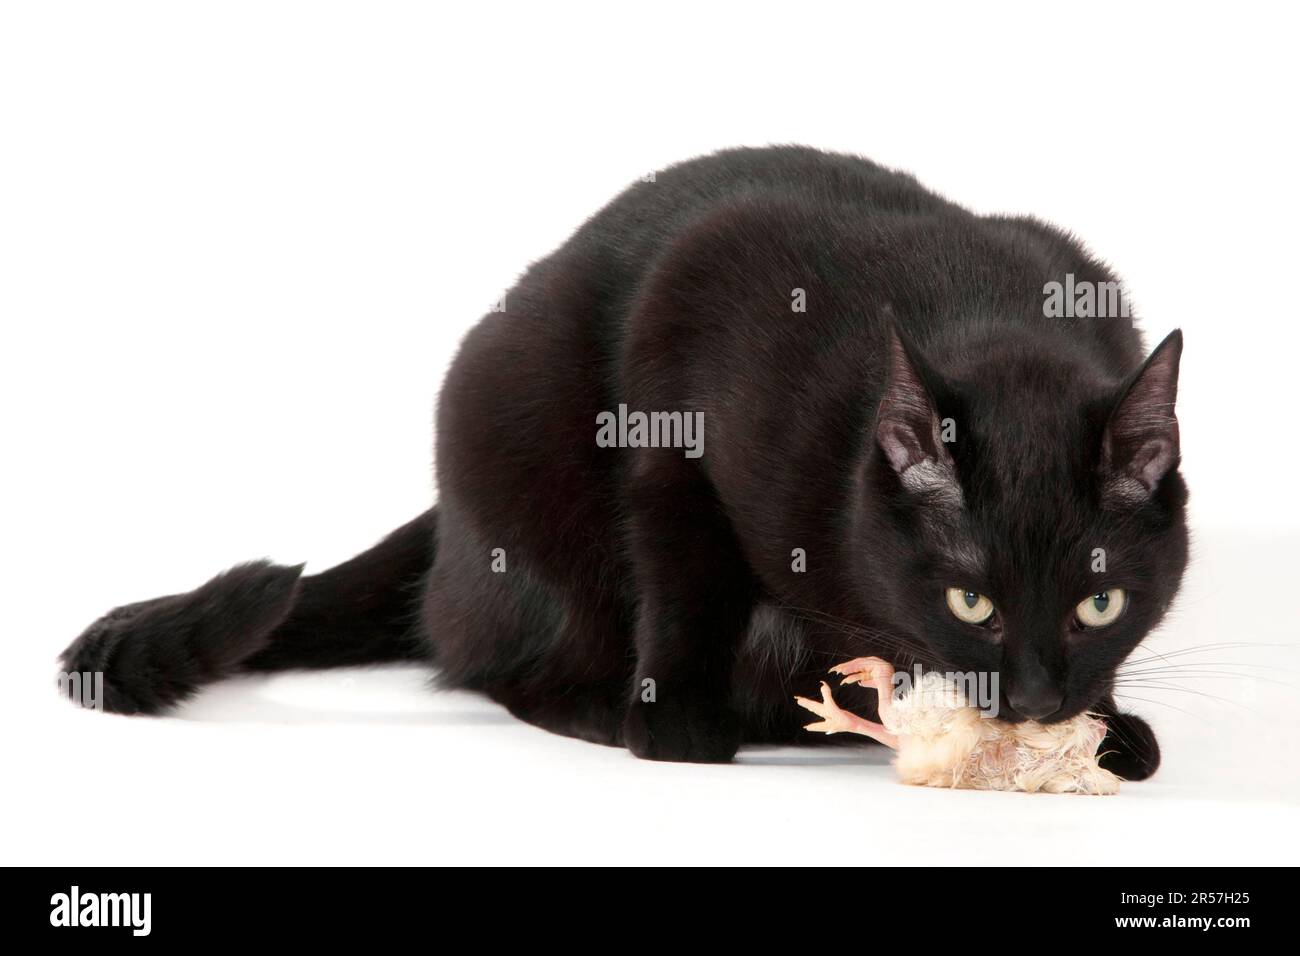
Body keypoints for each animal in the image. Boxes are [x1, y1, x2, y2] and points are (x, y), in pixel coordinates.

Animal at [61, 147, 1185, 780]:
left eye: (1098, 604)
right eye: (969, 603)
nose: (1035, 700)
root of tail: (444, 519)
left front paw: (1107, 729)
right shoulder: (675, 371)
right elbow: (684, 572)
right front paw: (672, 725)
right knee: (506, 658)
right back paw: (614, 708)